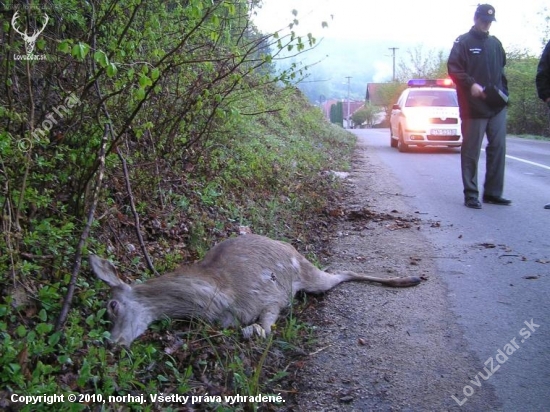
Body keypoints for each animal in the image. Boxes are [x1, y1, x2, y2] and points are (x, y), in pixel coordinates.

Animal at [90, 233, 422, 346]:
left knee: (340, 273)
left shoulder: (270, 297)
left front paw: (255, 330)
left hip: (307, 273)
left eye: (112, 306)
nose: (113, 342)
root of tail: (292, 247)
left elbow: (263, 327)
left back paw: (410, 279)